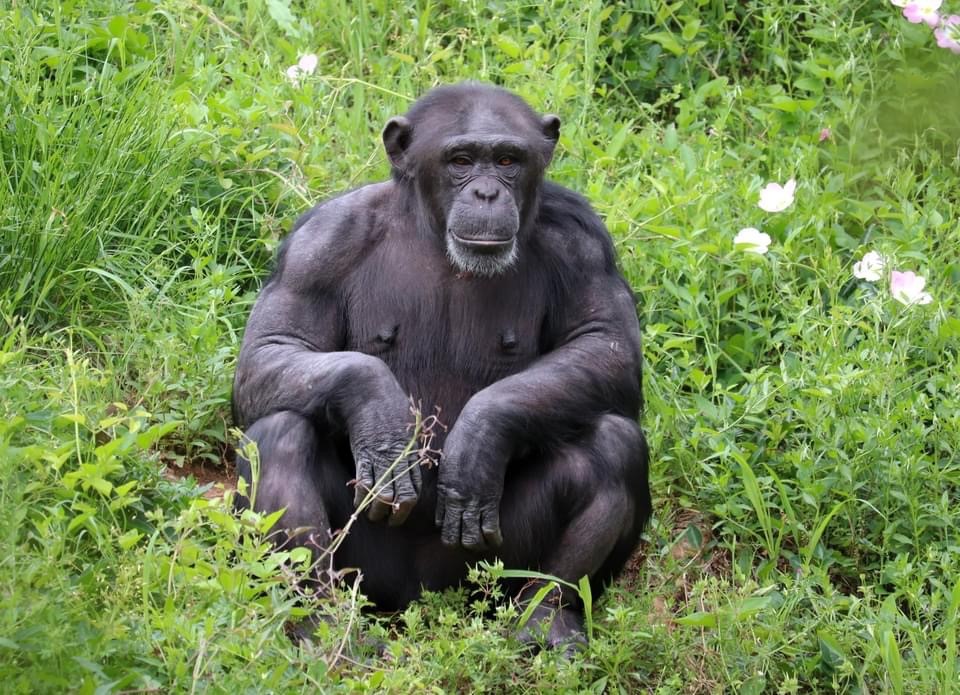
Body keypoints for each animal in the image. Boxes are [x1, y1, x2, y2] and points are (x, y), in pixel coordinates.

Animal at [233, 83, 652, 652]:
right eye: (460, 161)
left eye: (507, 160)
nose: (487, 194)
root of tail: (420, 599)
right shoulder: (318, 244)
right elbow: (272, 348)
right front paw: (381, 415)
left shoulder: (582, 241)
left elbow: (605, 345)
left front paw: (481, 434)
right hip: (369, 572)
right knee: (280, 433)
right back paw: (324, 626)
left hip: (485, 571)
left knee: (613, 444)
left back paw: (547, 617)